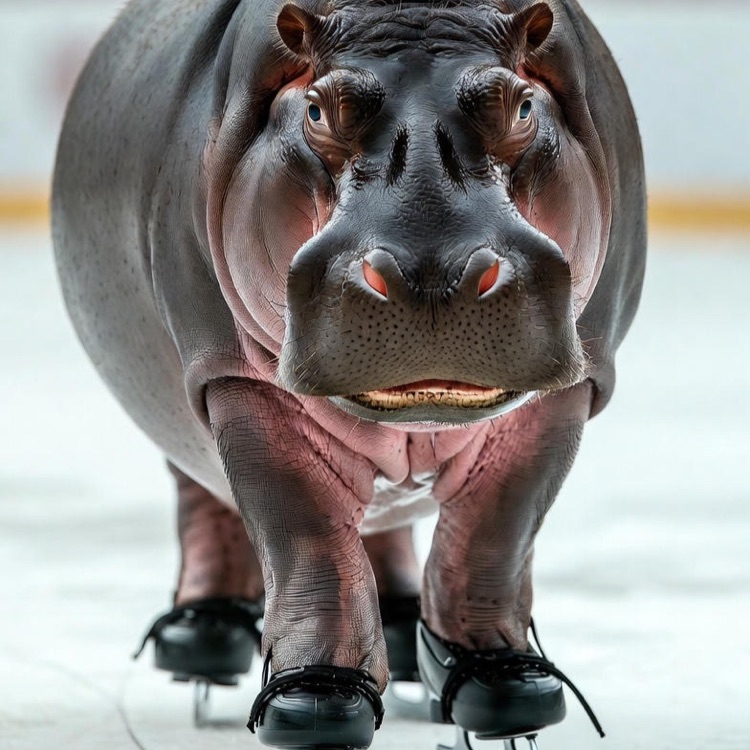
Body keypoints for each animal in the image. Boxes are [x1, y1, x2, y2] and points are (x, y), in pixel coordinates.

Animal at [52, 0, 646, 747]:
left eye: (521, 104)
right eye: (315, 108)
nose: (434, 272)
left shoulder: (568, 390)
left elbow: (496, 534)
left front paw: (503, 689)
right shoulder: (236, 383)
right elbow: (306, 538)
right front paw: (315, 706)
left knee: (387, 522)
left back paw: (407, 640)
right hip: (183, 404)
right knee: (205, 500)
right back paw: (203, 643)